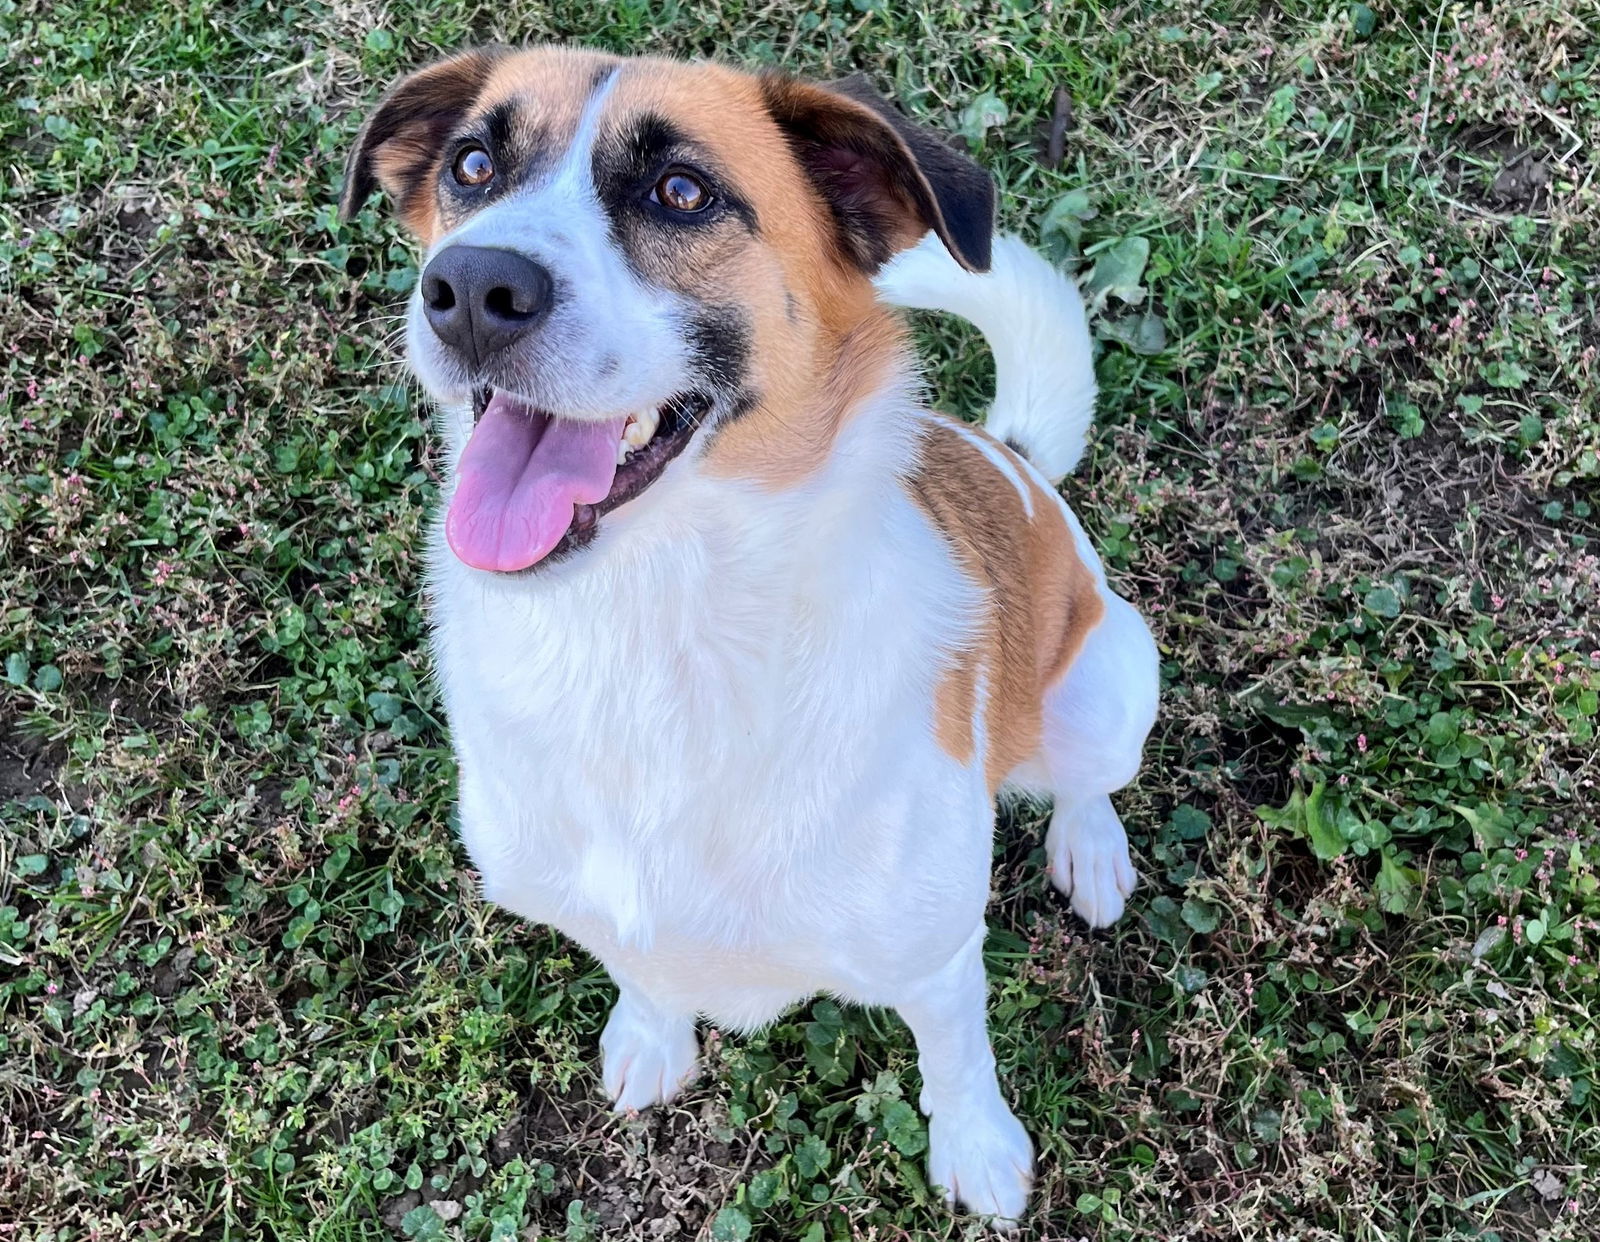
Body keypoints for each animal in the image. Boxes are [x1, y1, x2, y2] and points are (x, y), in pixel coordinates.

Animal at [344, 46, 1158, 1222]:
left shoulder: (935, 952)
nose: (468, 292)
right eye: (472, 165)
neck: (649, 633)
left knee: (1085, 779)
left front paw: (978, 1152)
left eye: (682, 192)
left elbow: (957, 1058)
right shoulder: (604, 907)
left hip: (1108, 683)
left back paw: (1089, 851)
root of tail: (1015, 457)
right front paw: (651, 1038)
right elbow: (642, 970)